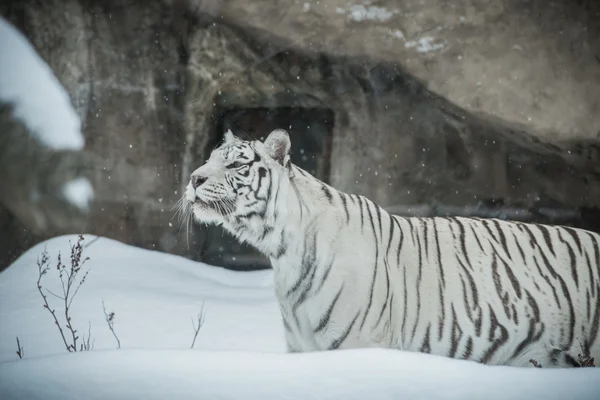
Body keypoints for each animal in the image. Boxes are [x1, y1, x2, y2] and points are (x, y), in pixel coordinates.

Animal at [183, 129, 600, 368]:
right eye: (209, 159)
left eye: (235, 165)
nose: (193, 178)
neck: (281, 250)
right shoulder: (303, 349)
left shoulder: (357, 344)